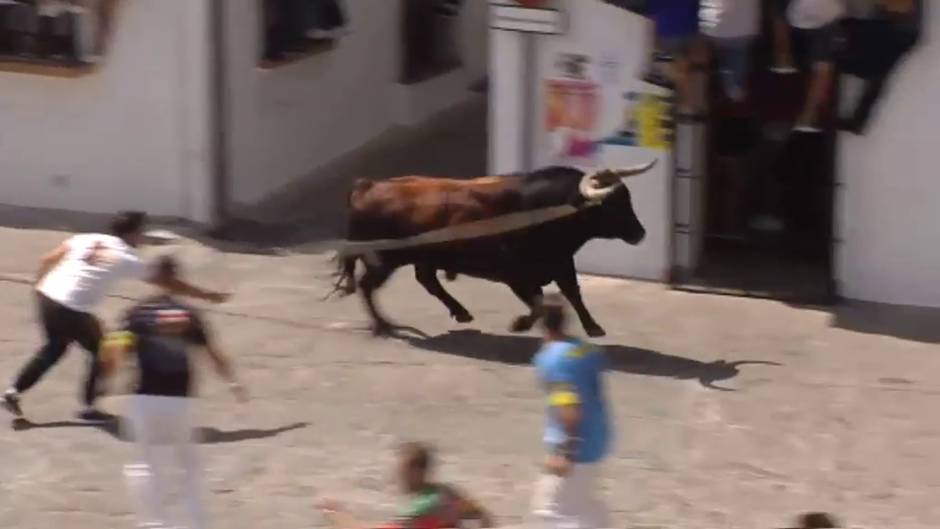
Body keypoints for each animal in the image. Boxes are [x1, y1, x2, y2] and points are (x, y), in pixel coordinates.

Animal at [336, 159, 652, 336]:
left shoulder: (561, 263)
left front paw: (592, 326)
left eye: (627, 199)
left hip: (418, 257)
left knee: (425, 280)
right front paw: (520, 324)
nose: (640, 233)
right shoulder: (517, 275)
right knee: (367, 285)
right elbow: (539, 302)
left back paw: (460, 312)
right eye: (611, 205)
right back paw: (383, 325)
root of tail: (368, 186)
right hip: (385, 259)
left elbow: (573, 294)